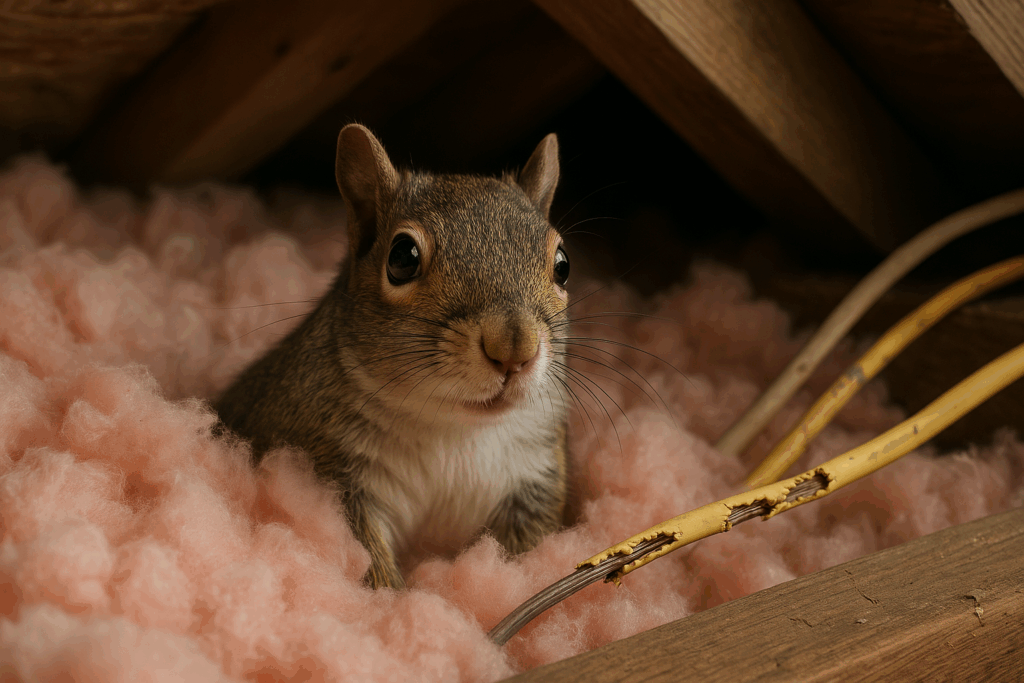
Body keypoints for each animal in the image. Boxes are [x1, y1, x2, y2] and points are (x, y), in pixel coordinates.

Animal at [214, 124, 571, 589]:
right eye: (402, 257)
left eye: (563, 264)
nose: (515, 348)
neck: (452, 429)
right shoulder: (331, 468)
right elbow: (365, 554)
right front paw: (391, 597)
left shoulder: (535, 472)